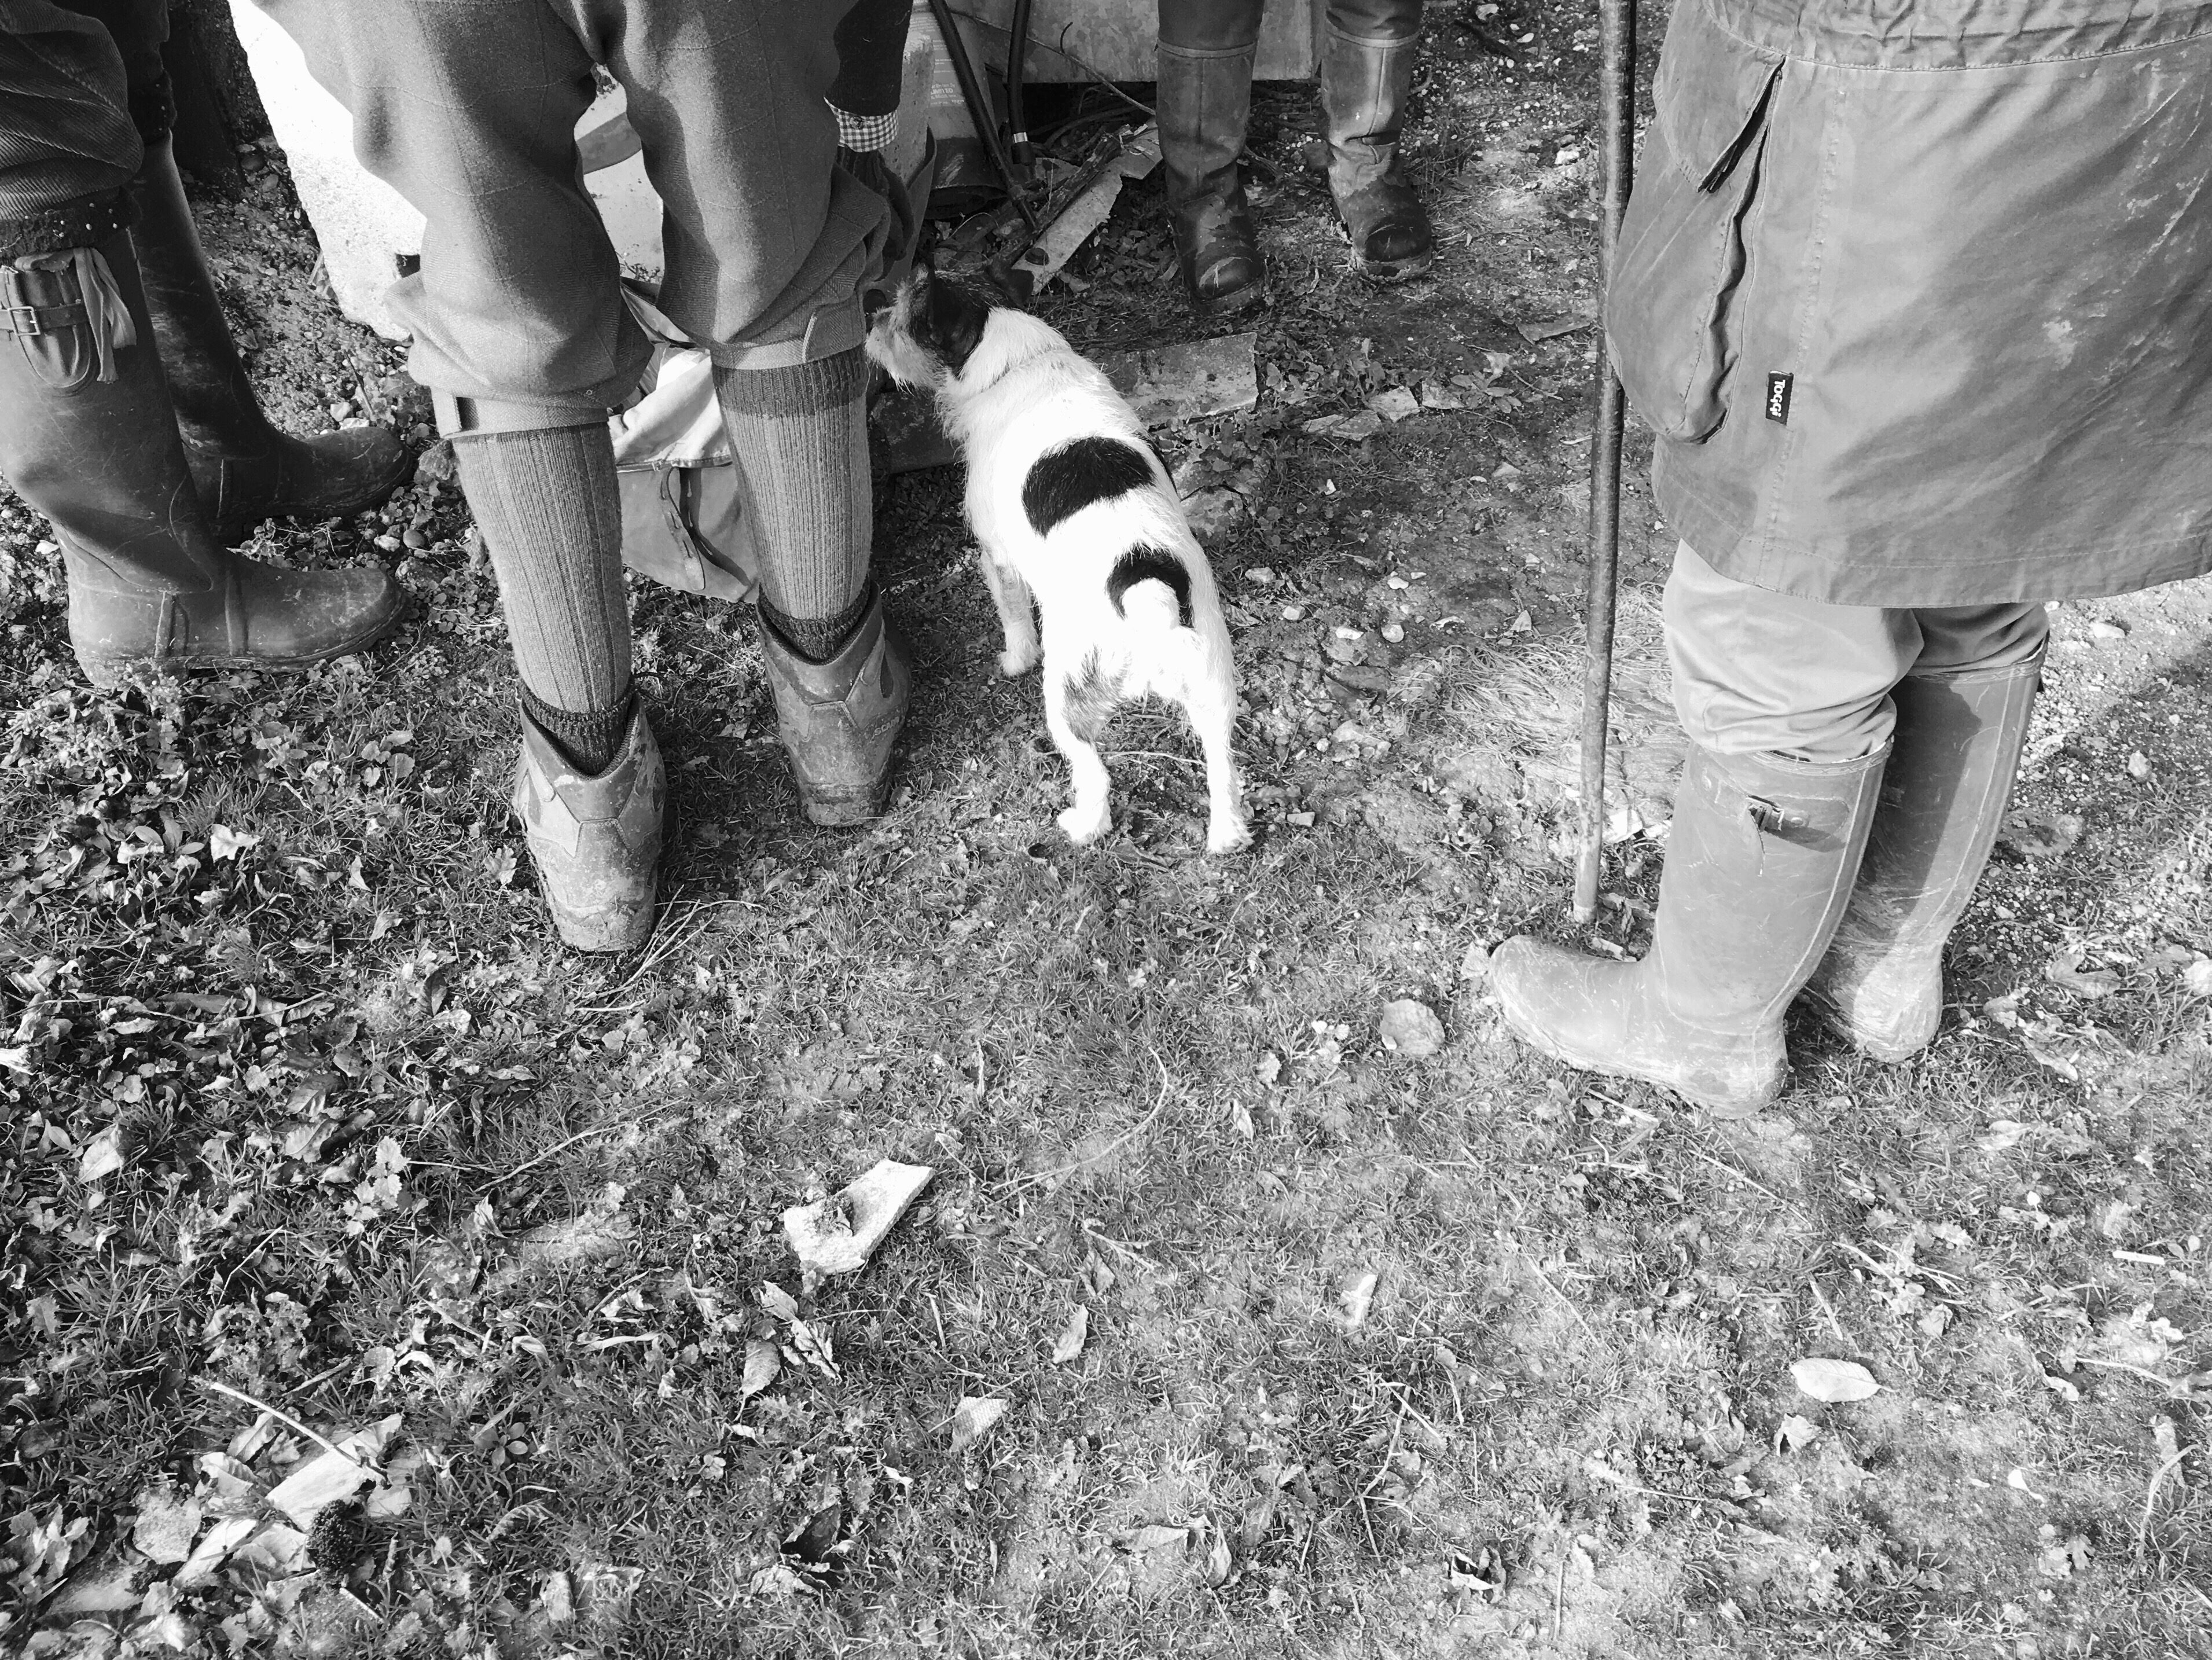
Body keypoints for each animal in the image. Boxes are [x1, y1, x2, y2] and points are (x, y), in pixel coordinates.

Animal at [866, 270, 1251, 855]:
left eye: (900, 317)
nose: (869, 318)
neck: (1018, 357)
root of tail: (1145, 586)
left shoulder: (997, 556)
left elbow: (1013, 616)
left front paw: (1013, 659)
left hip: (1067, 690)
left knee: (1095, 773)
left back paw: (1082, 825)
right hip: (1213, 679)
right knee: (1222, 766)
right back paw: (1226, 835)